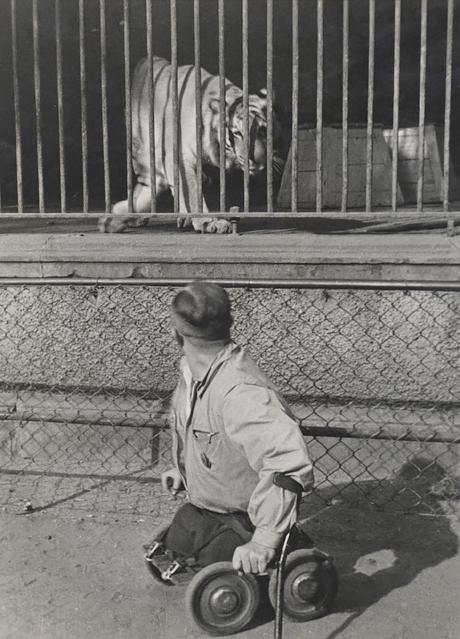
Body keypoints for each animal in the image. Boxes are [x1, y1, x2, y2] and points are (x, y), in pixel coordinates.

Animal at [99, 55, 282, 235]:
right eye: (237, 133)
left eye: (263, 130)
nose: (257, 161)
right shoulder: (177, 158)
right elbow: (192, 194)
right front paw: (209, 223)